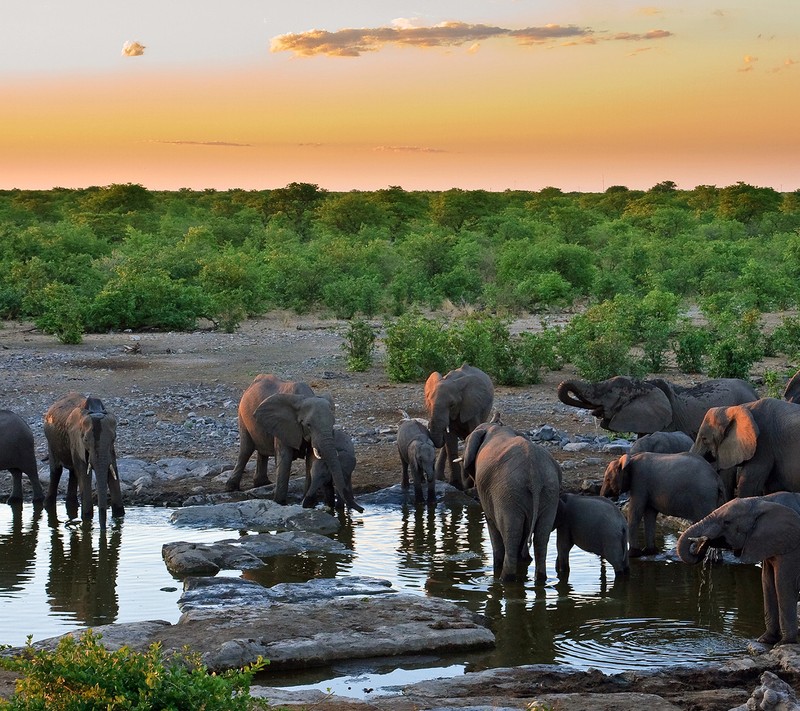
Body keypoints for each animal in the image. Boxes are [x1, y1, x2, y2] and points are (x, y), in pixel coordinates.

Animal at [43, 394, 122, 528]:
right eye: (85, 440)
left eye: (114, 438)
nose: (103, 528)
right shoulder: (75, 439)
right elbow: (84, 473)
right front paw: (87, 518)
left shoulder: (111, 449)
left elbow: (112, 471)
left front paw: (119, 516)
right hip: (51, 441)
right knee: (56, 471)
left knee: (73, 473)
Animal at [223, 376, 364, 516]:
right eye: (308, 425)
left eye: (333, 423)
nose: (362, 510)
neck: (304, 398)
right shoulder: (284, 425)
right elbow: (284, 459)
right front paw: (280, 503)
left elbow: (310, 460)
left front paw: (308, 504)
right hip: (242, 415)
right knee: (246, 450)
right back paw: (230, 487)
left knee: (261, 451)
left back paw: (262, 483)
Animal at [680, 498, 800, 648]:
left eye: (726, 522)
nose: (704, 540)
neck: (766, 505)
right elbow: (767, 584)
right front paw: (764, 640)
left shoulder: (790, 554)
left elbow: (783, 587)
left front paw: (783, 644)